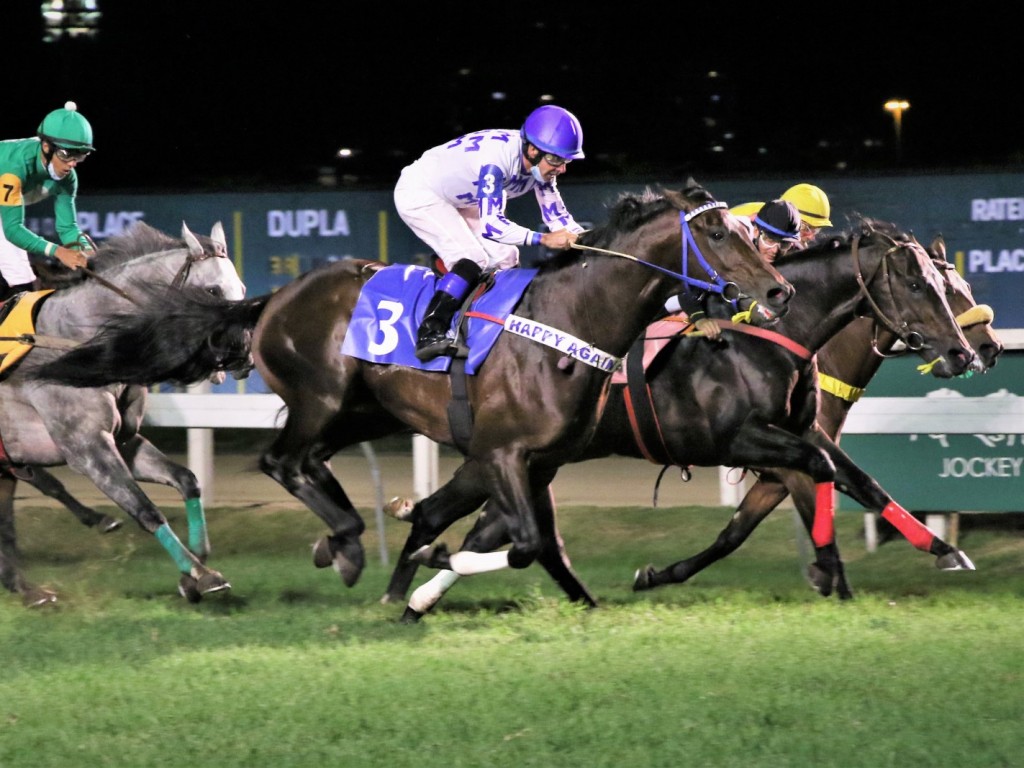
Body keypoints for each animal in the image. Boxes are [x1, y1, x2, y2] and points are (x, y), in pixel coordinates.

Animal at [24, 183, 790, 598]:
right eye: (716, 231)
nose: (778, 290)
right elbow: (525, 543)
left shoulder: (535, 461)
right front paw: (433, 560)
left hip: (363, 411)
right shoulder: (504, 455)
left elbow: (549, 552)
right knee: (281, 460)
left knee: (308, 463)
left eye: (747, 229)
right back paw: (346, 541)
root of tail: (271, 298)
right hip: (322, 397)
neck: (567, 318)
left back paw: (343, 539)